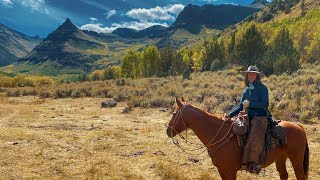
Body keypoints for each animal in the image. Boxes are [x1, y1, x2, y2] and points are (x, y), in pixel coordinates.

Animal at [166, 98, 308, 180]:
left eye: (174, 113)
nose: (168, 131)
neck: (218, 135)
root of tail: (299, 126)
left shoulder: (230, 171)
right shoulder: (221, 170)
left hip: (296, 159)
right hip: (281, 158)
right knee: (284, 175)